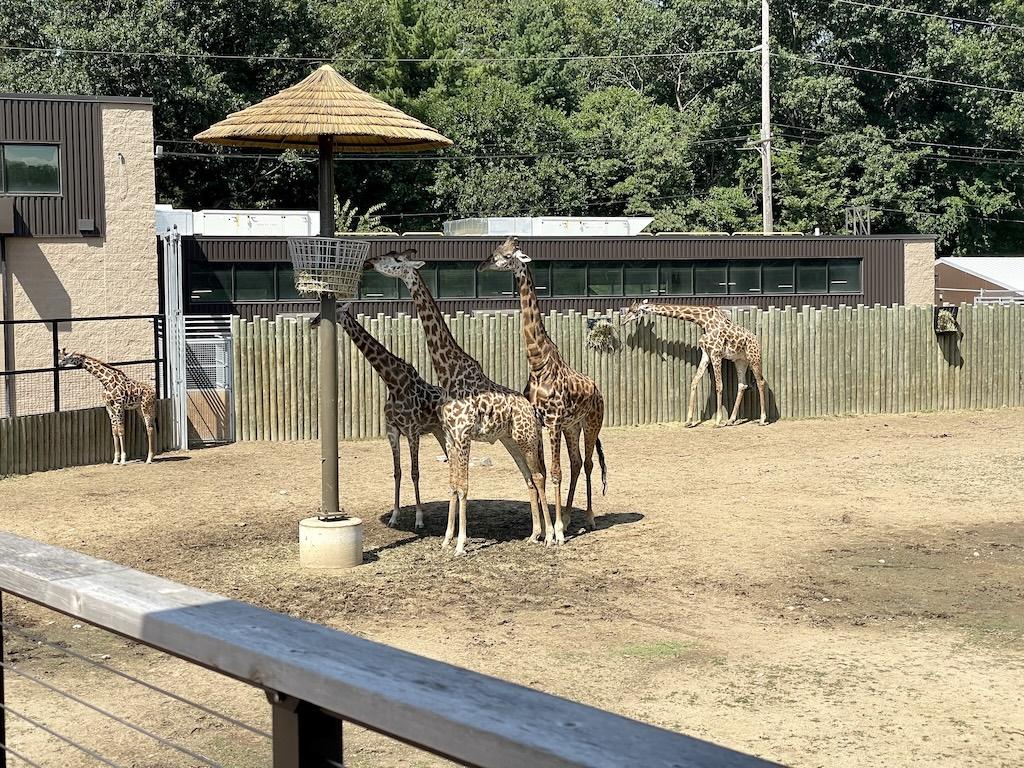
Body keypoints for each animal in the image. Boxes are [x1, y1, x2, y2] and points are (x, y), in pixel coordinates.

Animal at [338, 303, 448, 530]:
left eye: (336, 308)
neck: (394, 383)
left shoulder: (412, 431)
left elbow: (415, 472)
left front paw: (419, 519)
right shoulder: (393, 430)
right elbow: (397, 472)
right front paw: (394, 516)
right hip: (438, 431)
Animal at [367, 250, 554, 555]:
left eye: (395, 259)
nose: (371, 262)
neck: (448, 372)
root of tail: (532, 409)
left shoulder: (463, 435)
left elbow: (464, 486)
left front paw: (461, 544)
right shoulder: (450, 436)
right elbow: (453, 485)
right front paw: (446, 540)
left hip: (526, 438)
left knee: (538, 477)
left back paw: (551, 536)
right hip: (511, 441)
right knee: (528, 478)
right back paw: (534, 533)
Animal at [478, 236, 607, 534]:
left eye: (505, 255)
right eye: (494, 251)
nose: (481, 265)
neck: (538, 363)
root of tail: (597, 389)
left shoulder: (554, 421)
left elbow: (556, 473)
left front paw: (555, 531)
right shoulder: (540, 422)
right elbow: (545, 473)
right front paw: (546, 529)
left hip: (591, 422)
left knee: (588, 463)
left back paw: (589, 517)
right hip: (572, 426)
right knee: (576, 463)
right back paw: (569, 517)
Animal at [620, 300, 769, 427]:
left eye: (634, 311)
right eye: (629, 309)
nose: (623, 322)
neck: (703, 321)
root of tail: (757, 341)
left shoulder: (716, 353)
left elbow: (719, 385)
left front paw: (717, 421)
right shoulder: (706, 354)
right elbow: (694, 381)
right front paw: (688, 420)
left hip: (753, 358)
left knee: (760, 382)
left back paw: (762, 419)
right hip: (740, 361)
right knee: (742, 385)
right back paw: (731, 420)